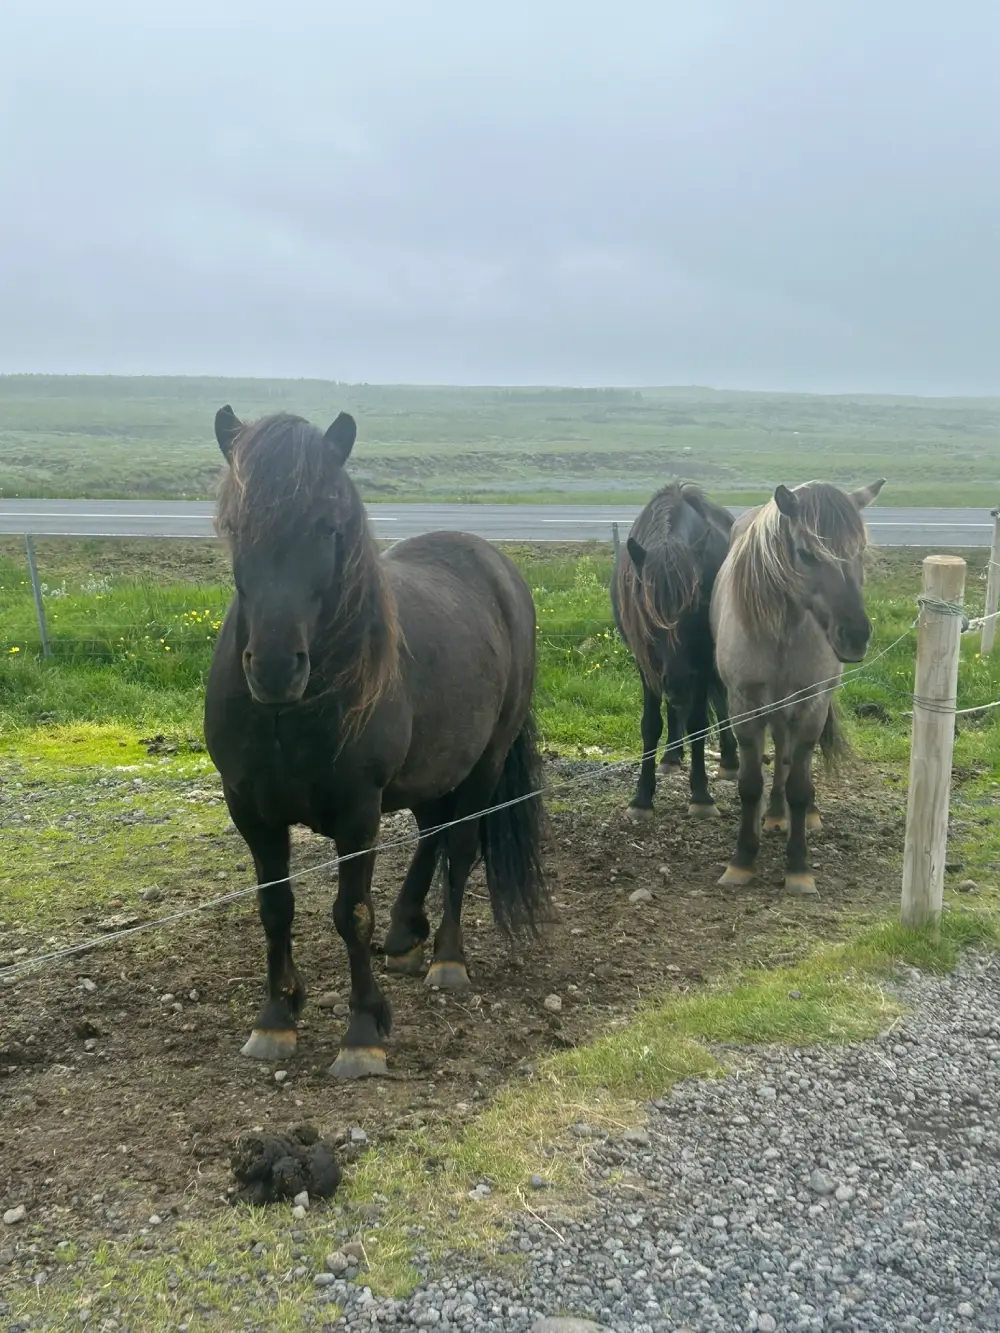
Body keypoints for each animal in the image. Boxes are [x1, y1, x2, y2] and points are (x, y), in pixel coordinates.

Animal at [204, 407, 546, 1079]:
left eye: (328, 525)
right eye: (235, 525)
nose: (276, 668)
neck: (286, 715)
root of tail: (493, 564)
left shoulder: (358, 812)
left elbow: (349, 913)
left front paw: (362, 1032)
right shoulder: (250, 810)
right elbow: (274, 908)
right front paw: (276, 1017)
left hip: (484, 765)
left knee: (459, 848)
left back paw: (446, 959)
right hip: (434, 769)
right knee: (433, 832)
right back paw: (405, 933)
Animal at [611, 483, 739, 822]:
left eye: (695, 606)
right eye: (647, 609)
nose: (679, 681)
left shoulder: (701, 663)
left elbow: (698, 723)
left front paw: (701, 796)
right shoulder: (646, 664)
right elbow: (650, 724)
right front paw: (642, 797)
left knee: (718, 702)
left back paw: (730, 759)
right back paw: (671, 756)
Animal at [711, 478, 885, 895]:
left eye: (860, 551)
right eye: (806, 554)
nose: (855, 636)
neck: (783, 630)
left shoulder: (810, 705)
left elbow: (800, 787)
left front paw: (799, 868)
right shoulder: (744, 705)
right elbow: (750, 783)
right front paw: (742, 861)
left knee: (793, 763)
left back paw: (802, 817)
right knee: (781, 757)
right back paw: (774, 815)